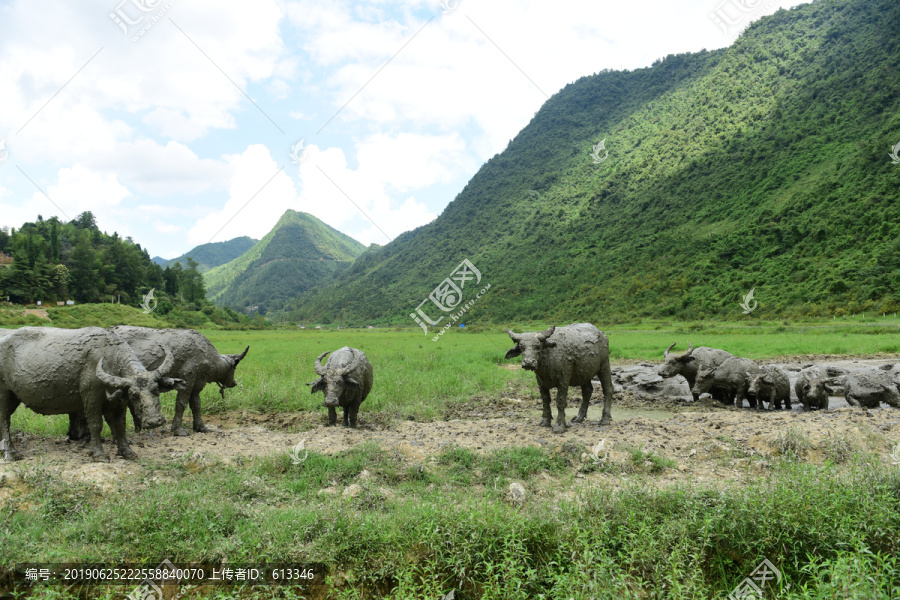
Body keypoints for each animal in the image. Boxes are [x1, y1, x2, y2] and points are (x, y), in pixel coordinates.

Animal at [0, 328, 185, 460]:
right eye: (134, 395)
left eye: (156, 390)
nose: (154, 421)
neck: (109, 357)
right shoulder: (91, 398)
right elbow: (96, 425)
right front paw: (99, 453)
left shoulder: (118, 402)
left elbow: (120, 425)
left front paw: (126, 451)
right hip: (4, 393)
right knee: (4, 420)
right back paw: (10, 453)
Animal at [69, 326, 250, 438]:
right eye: (235, 366)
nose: (234, 382)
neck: (206, 355)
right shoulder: (187, 381)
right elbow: (181, 404)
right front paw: (178, 430)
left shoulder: (196, 386)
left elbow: (196, 405)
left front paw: (201, 427)